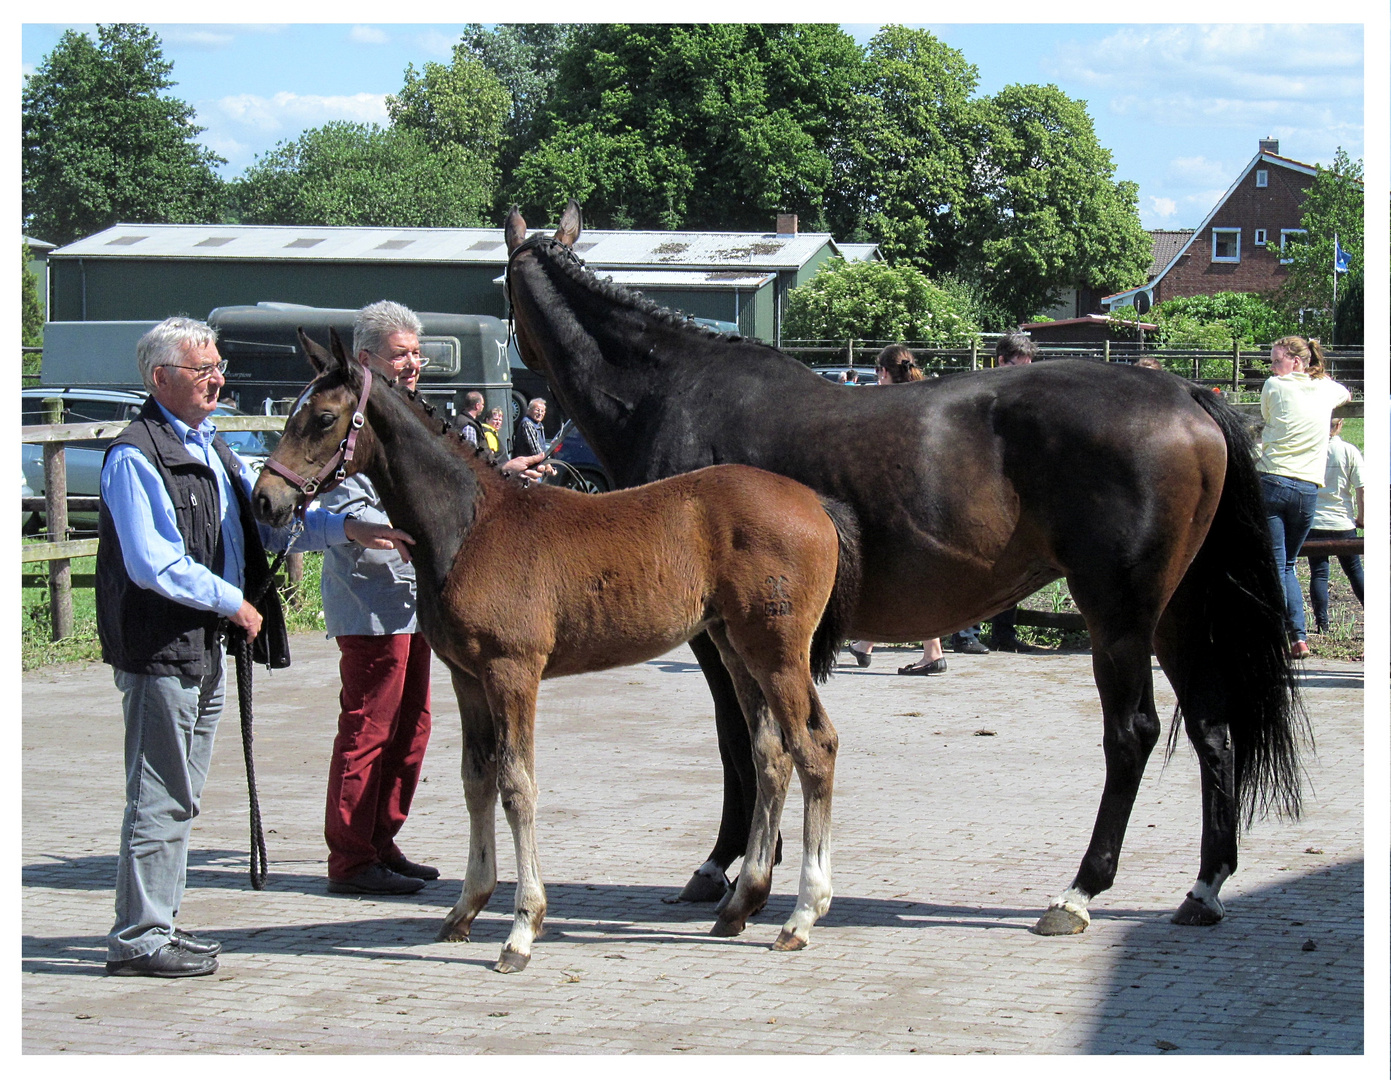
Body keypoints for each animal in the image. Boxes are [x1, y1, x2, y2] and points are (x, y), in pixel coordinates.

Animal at [250, 327, 856, 968]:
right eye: (289, 413)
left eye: (322, 417)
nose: (265, 500)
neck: (473, 525)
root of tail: (816, 503)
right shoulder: (466, 675)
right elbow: (476, 780)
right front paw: (466, 908)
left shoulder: (512, 671)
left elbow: (517, 785)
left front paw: (522, 928)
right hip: (736, 648)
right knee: (772, 754)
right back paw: (740, 905)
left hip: (777, 651)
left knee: (815, 747)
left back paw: (802, 915)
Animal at [506, 200, 1307, 935]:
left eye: (504, 292)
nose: (521, 390)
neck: (673, 394)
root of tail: (1184, 393)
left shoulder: (716, 634)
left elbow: (738, 740)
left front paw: (719, 866)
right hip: (1176, 614)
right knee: (1210, 727)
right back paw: (1203, 887)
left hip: (1117, 613)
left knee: (1132, 733)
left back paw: (1079, 891)